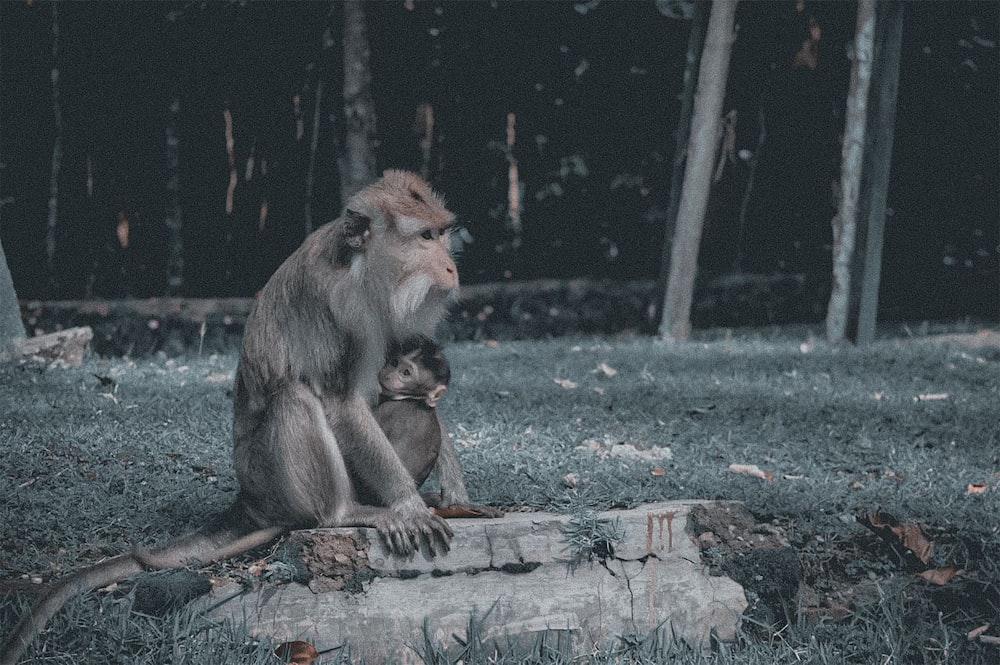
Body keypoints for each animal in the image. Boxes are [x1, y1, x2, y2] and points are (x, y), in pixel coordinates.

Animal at [2, 169, 488, 660]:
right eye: (424, 237)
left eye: (442, 234)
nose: (451, 268)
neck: (364, 271)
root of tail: (251, 499)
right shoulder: (342, 306)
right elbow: (341, 402)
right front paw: (407, 504)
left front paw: (455, 491)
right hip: (273, 479)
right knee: (296, 397)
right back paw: (344, 512)